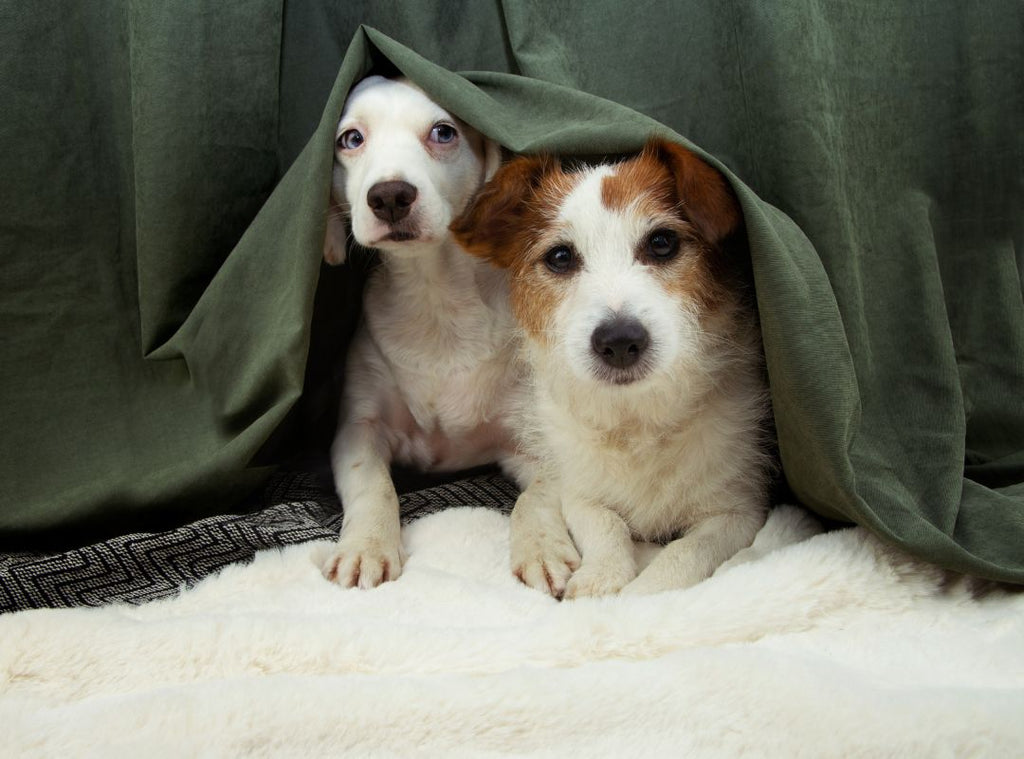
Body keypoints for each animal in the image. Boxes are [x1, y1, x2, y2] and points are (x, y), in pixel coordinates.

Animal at [321, 76, 544, 585]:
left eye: (443, 132)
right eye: (350, 139)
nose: (389, 195)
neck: (436, 301)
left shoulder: (534, 440)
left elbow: (540, 497)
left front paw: (544, 548)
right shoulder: (359, 430)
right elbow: (374, 486)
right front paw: (367, 546)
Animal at [452, 137, 770, 598]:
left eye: (662, 243)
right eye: (560, 256)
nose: (619, 342)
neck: (635, 419)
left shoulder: (738, 511)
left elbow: (686, 551)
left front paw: (642, 595)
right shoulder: (580, 491)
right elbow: (605, 524)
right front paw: (601, 577)